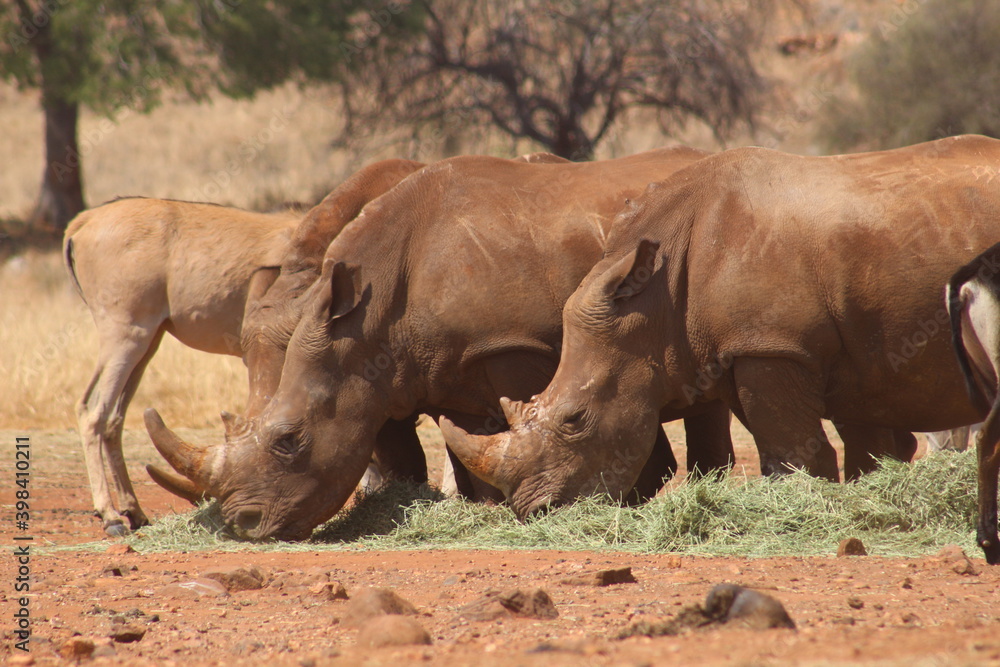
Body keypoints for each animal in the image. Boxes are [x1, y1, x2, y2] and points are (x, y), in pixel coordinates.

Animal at [145, 147, 738, 539]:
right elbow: (455, 448)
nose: (242, 524)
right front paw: (463, 510)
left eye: (289, 440)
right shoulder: (421, 367)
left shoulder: (512, 348)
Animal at [441, 135, 1000, 520]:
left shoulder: (773, 346)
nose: (534, 511)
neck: (654, 306)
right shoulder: (744, 350)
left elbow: (798, 452)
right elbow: (818, 451)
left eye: (575, 419)